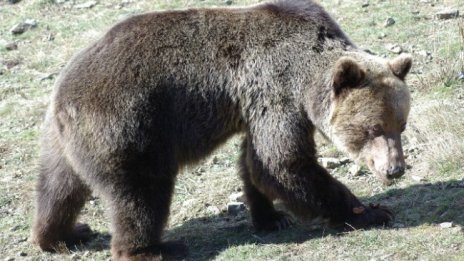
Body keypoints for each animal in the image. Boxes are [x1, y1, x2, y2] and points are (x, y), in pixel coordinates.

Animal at [32, 1, 412, 258]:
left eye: (402, 124)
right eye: (372, 128)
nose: (395, 169)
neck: (305, 72)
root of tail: (63, 97)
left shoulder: (256, 105)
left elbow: (256, 163)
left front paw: (271, 217)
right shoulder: (276, 89)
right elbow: (283, 162)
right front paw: (370, 211)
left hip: (60, 142)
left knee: (58, 189)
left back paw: (65, 234)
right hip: (128, 126)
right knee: (140, 193)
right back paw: (153, 249)